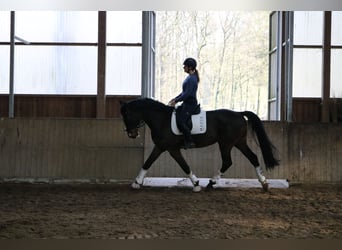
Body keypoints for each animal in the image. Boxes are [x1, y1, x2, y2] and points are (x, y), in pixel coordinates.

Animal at [119, 97, 280, 191]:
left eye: (126, 115)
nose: (132, 134)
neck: (161, 119)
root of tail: (239, 113)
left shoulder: (170, 148)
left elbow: (183, 165)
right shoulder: (162, 147)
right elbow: (148, 162)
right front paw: (137, 182)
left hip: (226, 143)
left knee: (227, 162)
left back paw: (212, 183)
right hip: (239, 142)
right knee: (253, 158)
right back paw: (264, 183)